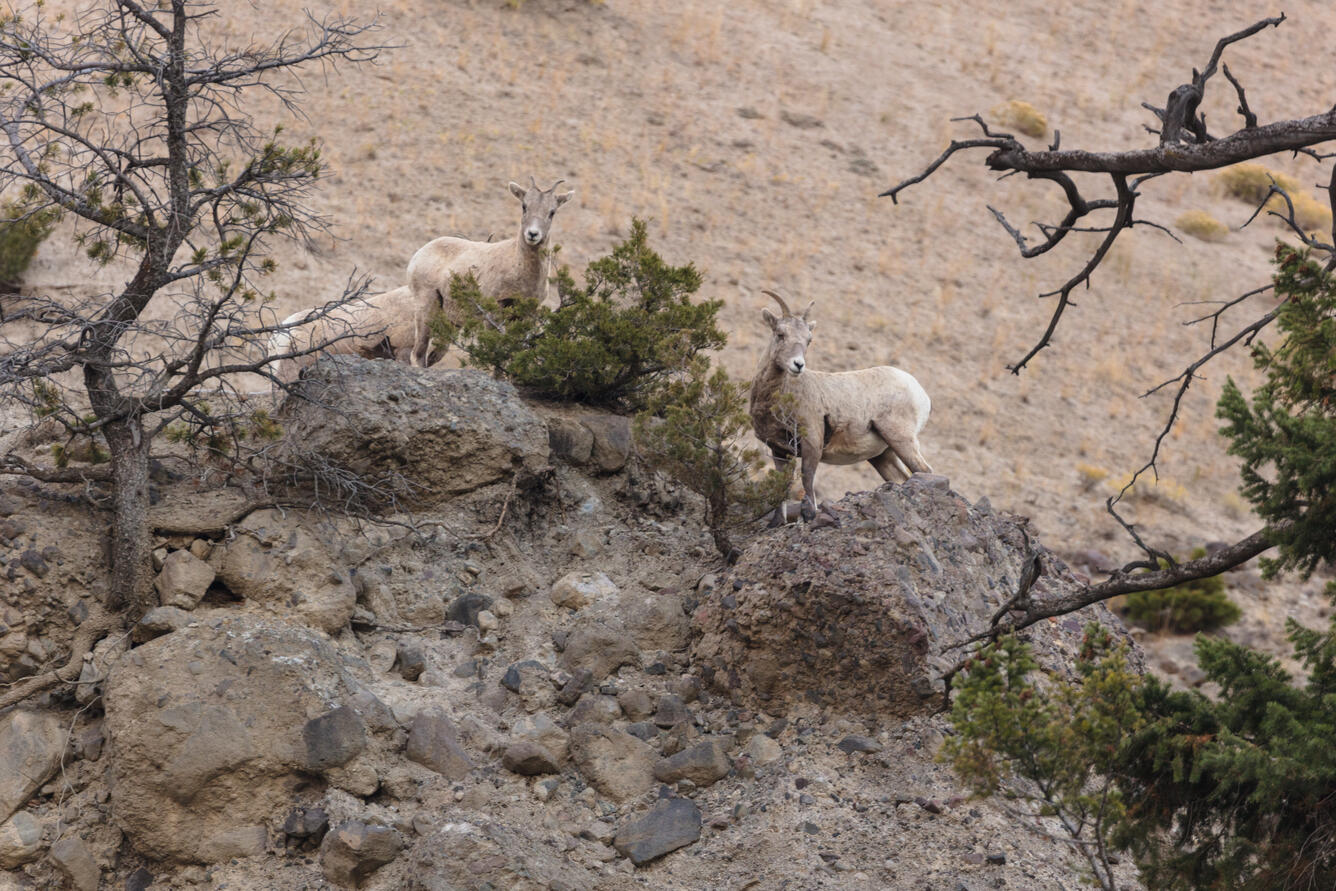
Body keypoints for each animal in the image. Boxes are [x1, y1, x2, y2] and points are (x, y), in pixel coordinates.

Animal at [403, 176, 574, 365]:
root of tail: (419, 254)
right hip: (426, 307)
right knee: (418, 353)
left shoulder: (527, 316)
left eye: (552, 212)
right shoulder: (493, 313)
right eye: (524, 206)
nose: (532, 234)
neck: (520, 271)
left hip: (452, 321)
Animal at [749, 289, 933, 522]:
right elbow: (782, 487)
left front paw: (810, 515)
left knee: (924, 470)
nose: (798, 365)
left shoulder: (812, 442)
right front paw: (777, 523)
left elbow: (807, 477)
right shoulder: (779, 450)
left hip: (901, 438)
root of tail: (920, 392)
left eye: (808, 340)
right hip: (883, 455)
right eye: (780, 334)